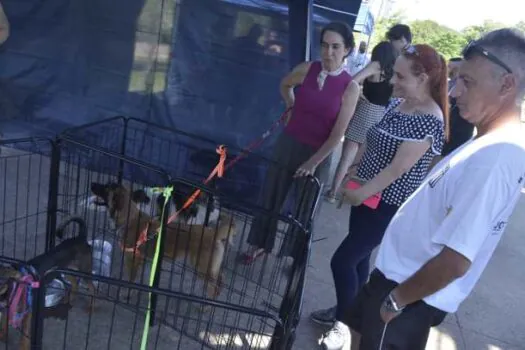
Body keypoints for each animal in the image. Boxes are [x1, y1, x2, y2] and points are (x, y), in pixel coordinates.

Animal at [91, 182, 236, 300]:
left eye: (106, 188)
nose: (92, 184)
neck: (130, 218)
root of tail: (214, 232)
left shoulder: (132, 260)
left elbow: (131, 280)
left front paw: (127, 293)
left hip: (202, 268)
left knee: (214, 288)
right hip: (210, 268)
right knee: (220, 281)